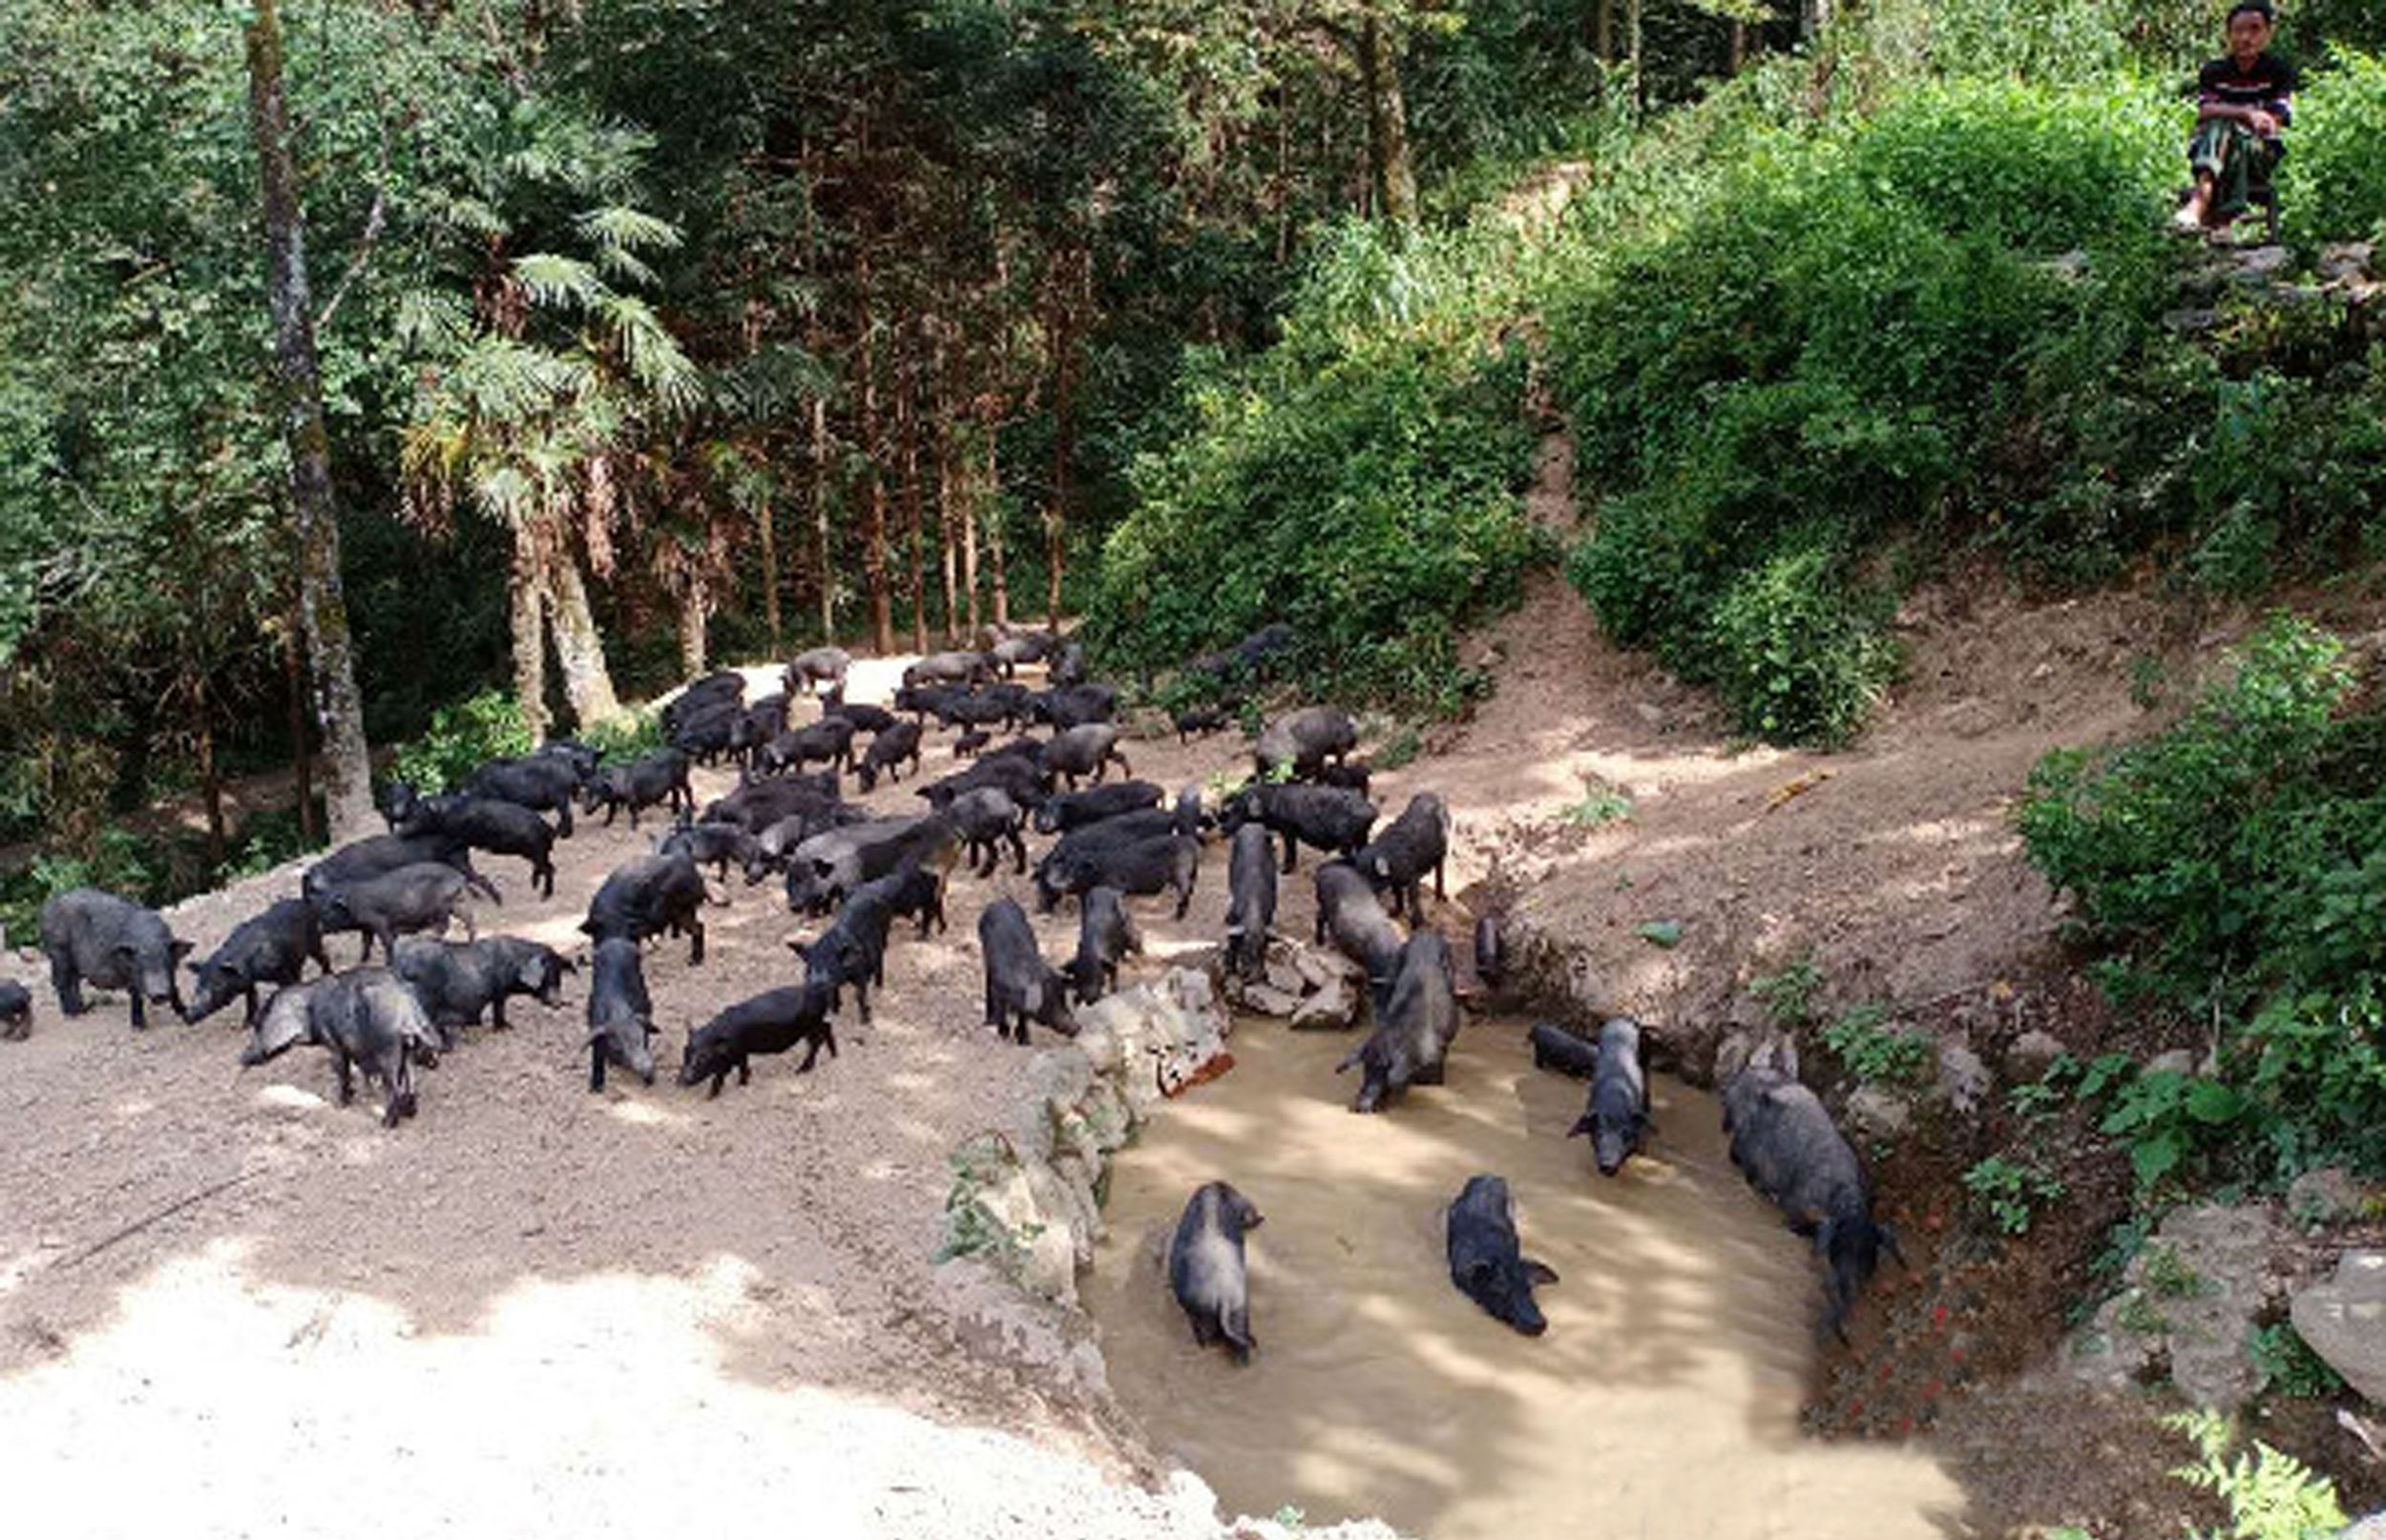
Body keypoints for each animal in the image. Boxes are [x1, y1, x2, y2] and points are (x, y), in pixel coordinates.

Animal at [37, 886, 191, 1030]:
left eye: (166, 961)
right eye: (141, 966)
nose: (159, 994)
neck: (149, 940)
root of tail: (46, 907)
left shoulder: (172, 970)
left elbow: (174, 987)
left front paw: (184, 1011)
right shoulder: (129, 971)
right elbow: (136, 995)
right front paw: (139, 1028)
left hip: (72, 963)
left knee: (73, 982)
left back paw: (83, 1010)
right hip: (58, 951)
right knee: (59, 982)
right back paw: (71, 1015)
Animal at [1169, 1182, 1269, 1363]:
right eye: (1248, 1205)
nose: (1260, 1217)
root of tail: (1224, 1295)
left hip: (1211, 1311)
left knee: (1210, 1334)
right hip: (1236, 1307)